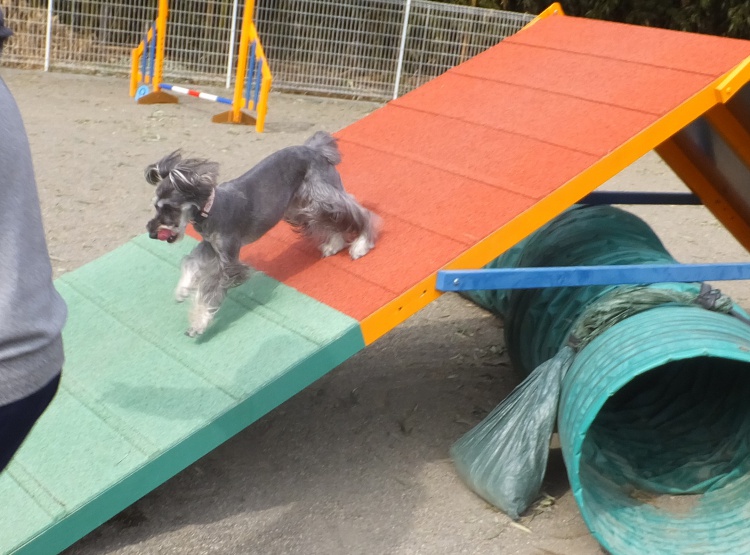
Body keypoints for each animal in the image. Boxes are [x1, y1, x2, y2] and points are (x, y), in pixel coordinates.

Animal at [145, 131, 379, 337]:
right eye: (155, 206)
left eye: (169, 208)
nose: (151, 234)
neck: (210, 208)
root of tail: (314, 149)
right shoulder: (211, 247)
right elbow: (191, 261)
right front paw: (183, 289)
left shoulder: (229, 262)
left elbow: (209, 291)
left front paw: (199, 323)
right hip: (302, 208)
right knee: (329, 221)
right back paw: (335, 243)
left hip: (324, 196)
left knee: (358, 212)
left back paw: (362, 244)